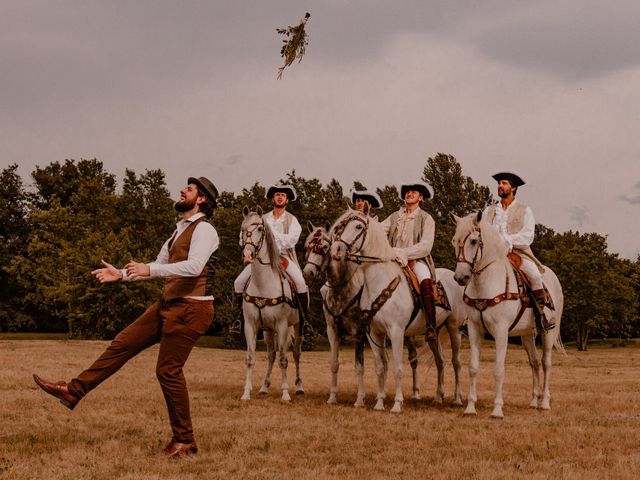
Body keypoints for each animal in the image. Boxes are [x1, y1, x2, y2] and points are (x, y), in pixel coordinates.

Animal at [239, 206, 304, 402]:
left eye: (260, 229)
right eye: (243, 229)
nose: (248, 255)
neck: (263, 284)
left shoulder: (282, 325)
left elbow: (284, 359)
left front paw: (285, 393)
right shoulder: (251, 325)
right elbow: (250, 358)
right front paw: (246, 392)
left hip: (296, 327)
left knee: (296, 354)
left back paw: (299, 387)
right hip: (268, 331)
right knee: (270, 355)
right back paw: (264, 387)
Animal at [330, 210, 464, 412]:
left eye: (358, 226)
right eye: (341, 226)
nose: (336, 250)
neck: (380, 282)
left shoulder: (396, 332)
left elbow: (397, 368)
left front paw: (397, 404)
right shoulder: (374, 334)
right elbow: (380, 367)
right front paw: (379, 403)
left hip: (454, 328)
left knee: (456, 362)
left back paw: (457, 399)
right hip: (434, 331)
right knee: (440, 360)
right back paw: (438, 397)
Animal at [452, 212, 564, 418]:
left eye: (473, 241)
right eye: (454, 241)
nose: (460, 277)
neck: (485, 285)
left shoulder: (501, 331)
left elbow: (498, 369)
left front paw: (497, 409)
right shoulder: (474, 329)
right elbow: (473, 367)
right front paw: (470, 407)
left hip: (548, 332)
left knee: (546, 363)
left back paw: (544, 403)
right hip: (527, 334)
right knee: (534, 362)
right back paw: (534, 402)